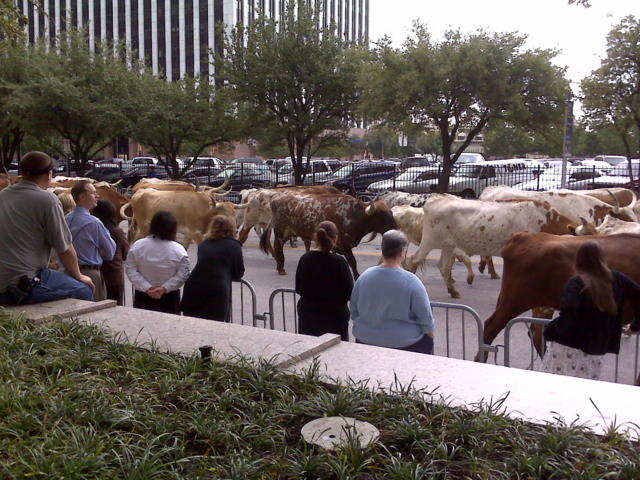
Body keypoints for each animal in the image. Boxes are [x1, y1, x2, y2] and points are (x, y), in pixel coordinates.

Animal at [260, 192, 396, 278]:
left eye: (391, 212)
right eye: (382, 216)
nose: (396, 229)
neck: (355, 215)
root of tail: (276, 198)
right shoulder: (344, 245)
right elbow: (353, 262)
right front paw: (357, 277)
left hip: (288, 232)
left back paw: (279, 267)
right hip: (280, 231)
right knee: (278, 247)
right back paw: (281, 269)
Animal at [408, 194, 576, 296]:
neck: (545, 220)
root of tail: (436, 199)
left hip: (447, 246)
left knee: (444, 267)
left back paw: (453, 291)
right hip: (429, 242)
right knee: (414, 260)